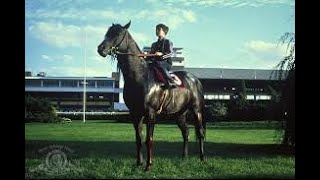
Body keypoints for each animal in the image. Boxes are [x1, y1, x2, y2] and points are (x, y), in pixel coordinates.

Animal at [97, 21, 206, 172]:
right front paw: (139, 163)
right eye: (107, 33)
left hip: (197, 111)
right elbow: (138, 139)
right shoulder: (135, 114)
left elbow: (149, 139)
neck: (140, 77)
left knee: (200, 133)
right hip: (179, 114)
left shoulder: (150, 113)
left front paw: (148, 165)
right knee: (186, 132)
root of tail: (195, 79)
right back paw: (184, 157)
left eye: (117, 34)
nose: (100, 49)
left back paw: (202, 158)